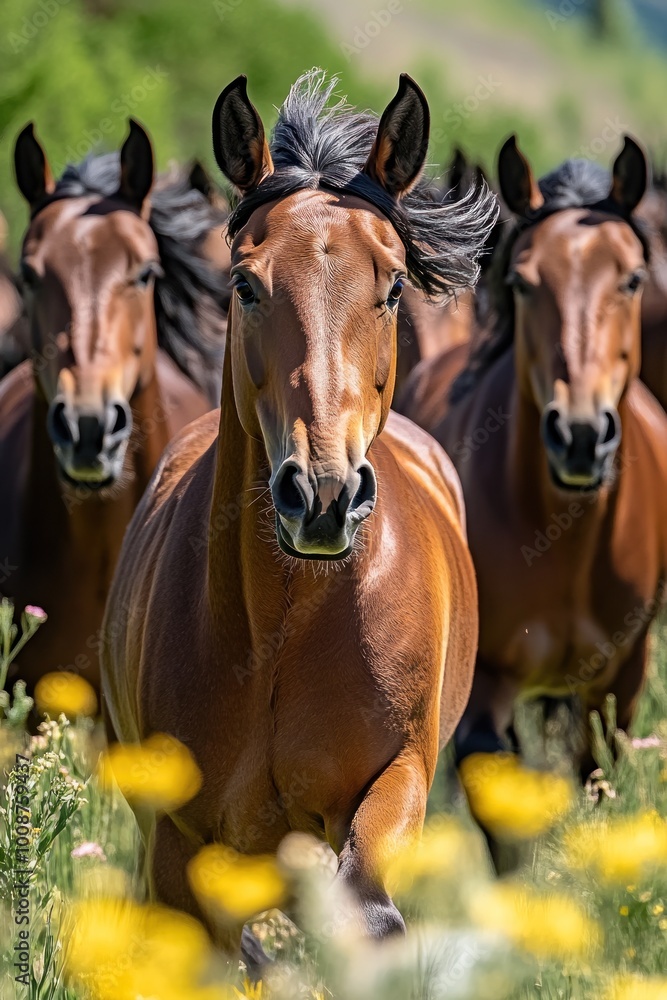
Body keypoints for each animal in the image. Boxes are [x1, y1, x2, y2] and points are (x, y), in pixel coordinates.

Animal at [101, 70, 497, 950]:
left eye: (392, 286)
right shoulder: (180, 842)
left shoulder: (398, 777)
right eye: (245, 284)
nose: (320, 496)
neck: (290, 622)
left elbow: (370, 907)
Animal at [398, 134, 667, 812]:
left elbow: (597, 780)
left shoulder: (620, 679)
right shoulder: (489, 678)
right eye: (521, 283)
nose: (579, 435)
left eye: (632, 279)